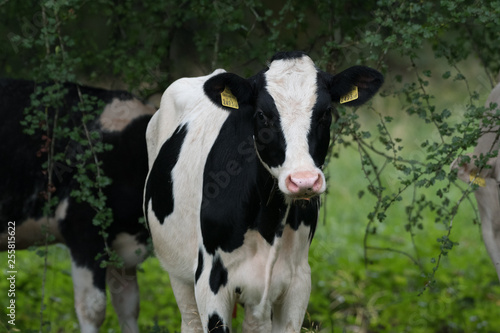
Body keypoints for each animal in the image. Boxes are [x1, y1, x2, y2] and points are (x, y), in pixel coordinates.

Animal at [143, 50, 384, 330]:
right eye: (261, 114)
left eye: (325, 113)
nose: (303, 180)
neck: (268, 223)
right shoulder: (210, 280)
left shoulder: (298, 281)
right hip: (178, 272)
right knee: (190, 320)